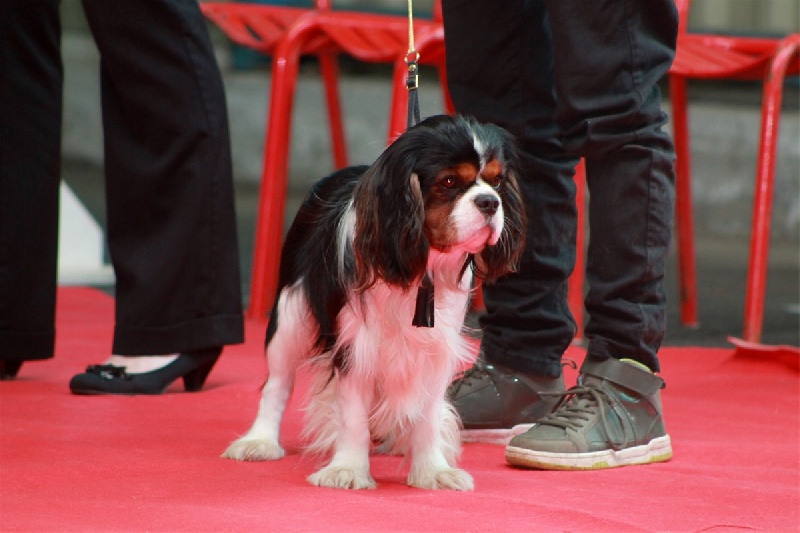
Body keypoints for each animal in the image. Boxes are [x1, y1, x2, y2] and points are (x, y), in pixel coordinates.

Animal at [222, 114, 528, 488]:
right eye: (449, 181)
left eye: (497, 181)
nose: (490, 202)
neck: (422, 265)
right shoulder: (357, 344)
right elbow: (351, 413)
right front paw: (348, 469)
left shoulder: (435, 346)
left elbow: (427, 414)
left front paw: (432, 471)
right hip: (289, 315)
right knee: (277, 384)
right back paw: (260, 441)